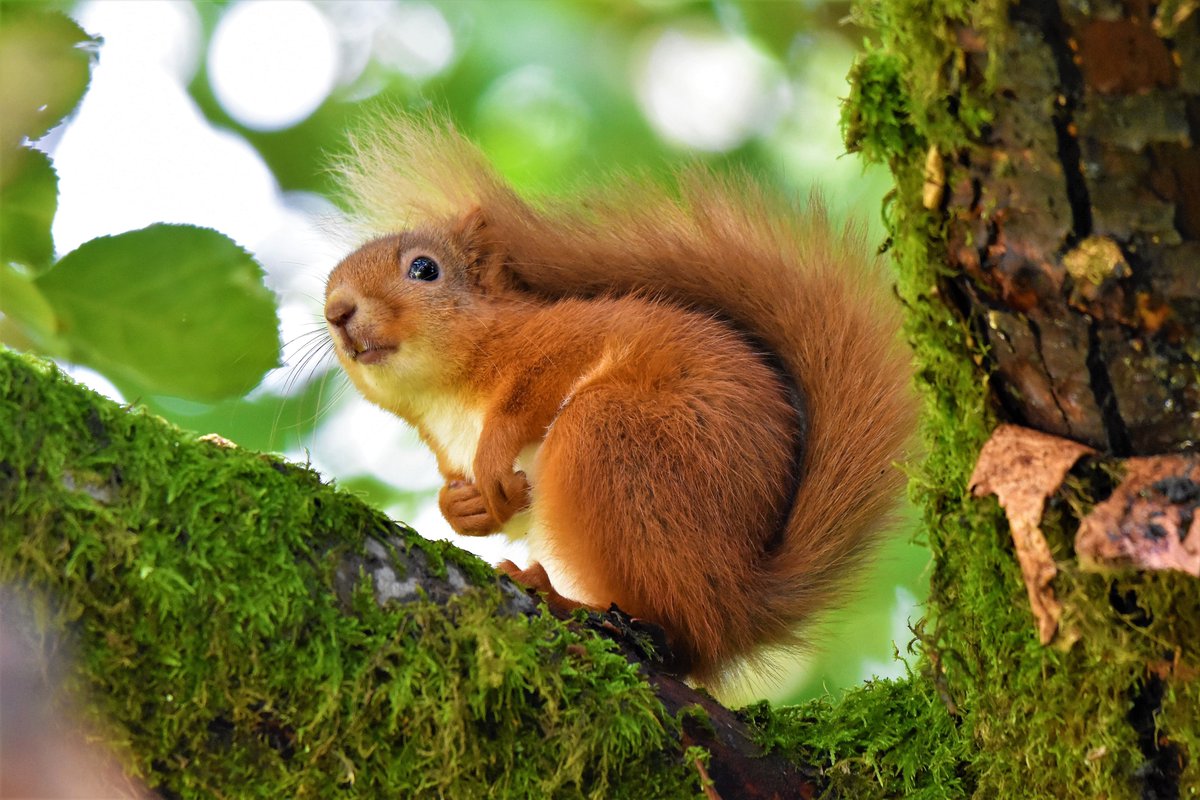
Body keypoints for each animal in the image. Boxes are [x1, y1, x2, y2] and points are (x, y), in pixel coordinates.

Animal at [323, 115, 916, 684]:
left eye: (424, 269)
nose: (336, 311)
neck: (447, 399)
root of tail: (739, 596)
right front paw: (461, 508)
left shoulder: (568, 339)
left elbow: (533, 393)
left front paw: (490, 458)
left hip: (614, 442)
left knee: (680, 631)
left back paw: (567, 601)